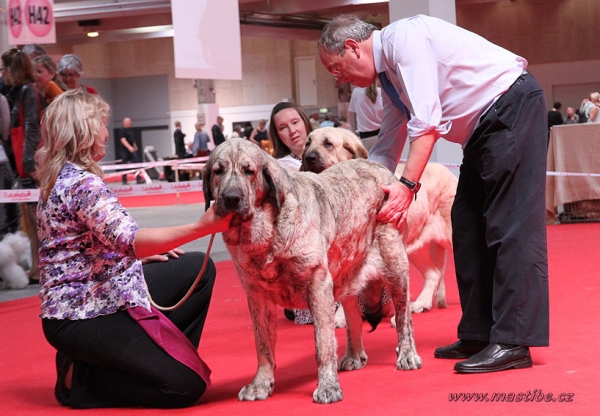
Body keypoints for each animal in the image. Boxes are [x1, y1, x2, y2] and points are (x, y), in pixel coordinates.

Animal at [204, 139, 420, 404]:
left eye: (249, 171)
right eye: (218, 171)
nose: (231, 198)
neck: (266, 235)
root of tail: (383, 171)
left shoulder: (318, 285)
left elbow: (323, 344)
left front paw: (328, 386)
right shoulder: (256, 295)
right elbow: (263, 346)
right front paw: (260, 385)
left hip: (394, 265)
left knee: (403, 315)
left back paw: (407, 354)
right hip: (345, 270)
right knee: (353, 313)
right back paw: (354, 355)